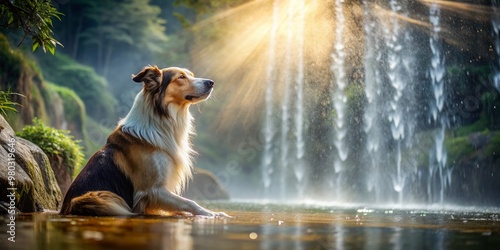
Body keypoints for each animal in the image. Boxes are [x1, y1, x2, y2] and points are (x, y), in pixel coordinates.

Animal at [59, 66, 229, 217]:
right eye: (181, 77)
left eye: (192, 75)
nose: (211, 82)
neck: (161, 120)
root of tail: (63, 209)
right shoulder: (152, 190)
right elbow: (189, 202)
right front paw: (211, 213)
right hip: (97, 197)